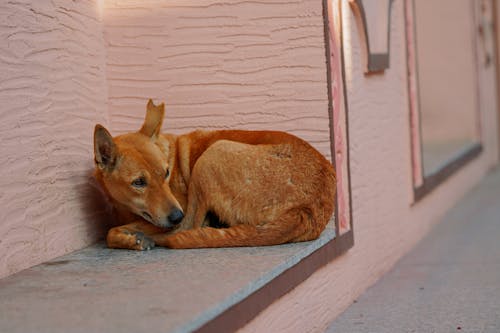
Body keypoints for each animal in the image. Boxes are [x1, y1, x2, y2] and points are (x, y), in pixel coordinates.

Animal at [94, 100, 336, 248]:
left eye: (166, 173)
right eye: (139, 182)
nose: (176, 215)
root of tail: (306, 209)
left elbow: (111, 233)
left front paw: (131, 238)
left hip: (211, 155)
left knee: (188, 226)